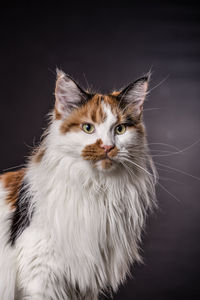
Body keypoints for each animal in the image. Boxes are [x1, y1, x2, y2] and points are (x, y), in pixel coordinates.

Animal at [0, 70, 156, 300]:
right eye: (88, 128)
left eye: (120, 129)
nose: (108, 147)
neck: (97, 188)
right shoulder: (41, 276)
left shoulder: (83, 283)